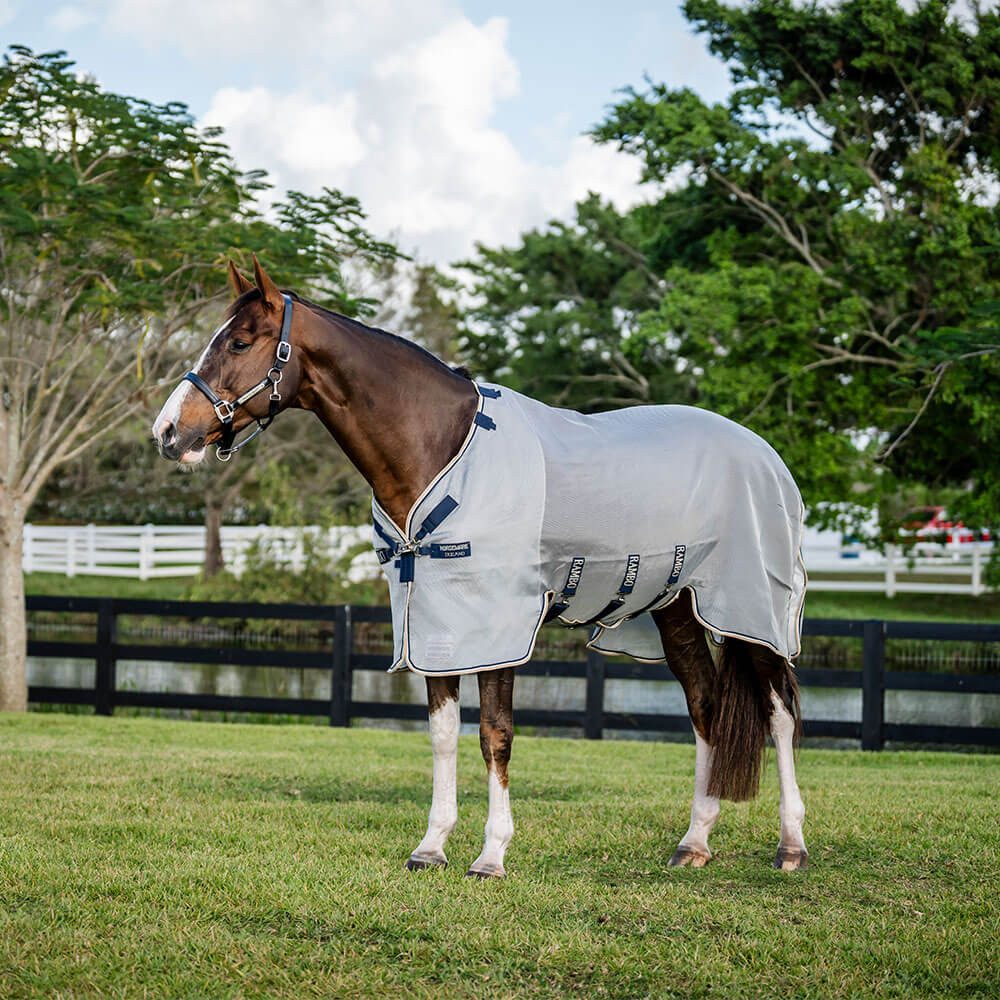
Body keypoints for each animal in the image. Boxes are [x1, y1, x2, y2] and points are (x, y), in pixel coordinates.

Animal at [152, 256, 808, 877]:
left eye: (240, 343)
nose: (168, 432)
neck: (439, 446)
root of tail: (765, 454)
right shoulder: (433, 623)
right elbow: (444, 734)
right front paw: (431, 847)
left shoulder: (499, 628)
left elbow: (496, 734)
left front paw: (491, 855)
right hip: (675, 610)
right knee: (705, 708)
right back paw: (694, 842)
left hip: (755, 611)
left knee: (779, 714)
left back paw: (791, 845)